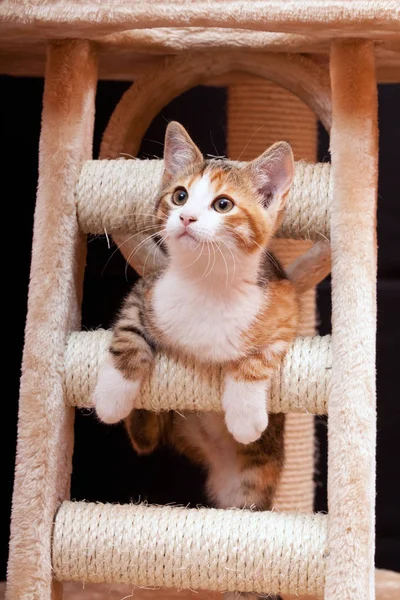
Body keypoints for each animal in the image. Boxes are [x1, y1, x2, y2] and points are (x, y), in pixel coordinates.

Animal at [94, 120, 300, 446]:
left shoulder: (285, 300)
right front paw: (113, 393)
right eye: (180, 196)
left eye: (223, 204)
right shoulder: (148, 288)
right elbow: (129, 329)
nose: (187, 217)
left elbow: (262, 352)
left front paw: (245, 414)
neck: (206, 280)